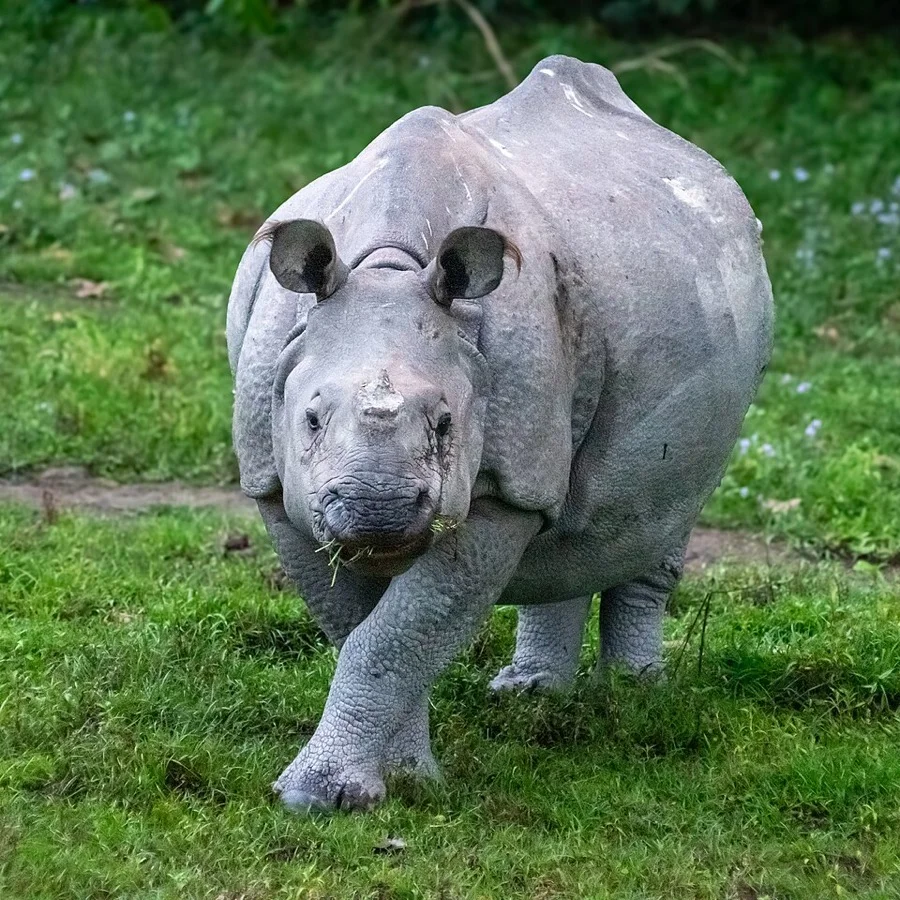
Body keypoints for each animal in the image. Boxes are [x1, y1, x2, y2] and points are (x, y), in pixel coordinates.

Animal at [226, 54, 773, 812]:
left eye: (446, 424)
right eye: (308, 419)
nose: (377, 509)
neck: (388, 265)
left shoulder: (499, 491)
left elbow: (394, 639)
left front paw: (328, 796)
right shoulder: (276, 485)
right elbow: (366, 632)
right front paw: (400, 778)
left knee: (661, 508)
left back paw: (636, 698)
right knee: (577, 520)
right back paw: (531, 696)